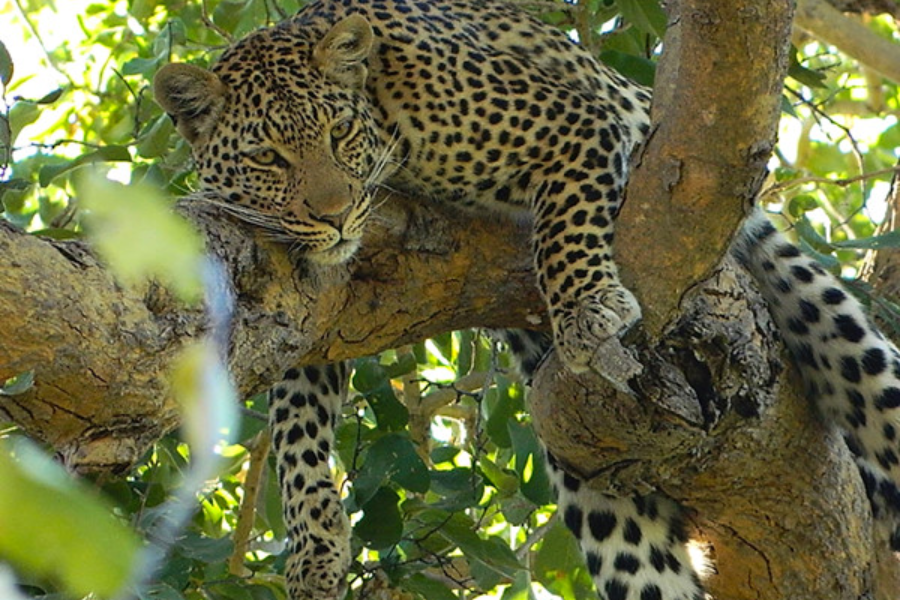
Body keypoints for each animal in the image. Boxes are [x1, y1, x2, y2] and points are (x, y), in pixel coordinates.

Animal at [153, 1, 900, 600]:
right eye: (269, 158)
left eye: (339, 136)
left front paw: (587, 311)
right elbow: (297, 420)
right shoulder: (322, 309)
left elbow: (566, 223)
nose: (336, 217)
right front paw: (315, 544)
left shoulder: (574, 119)